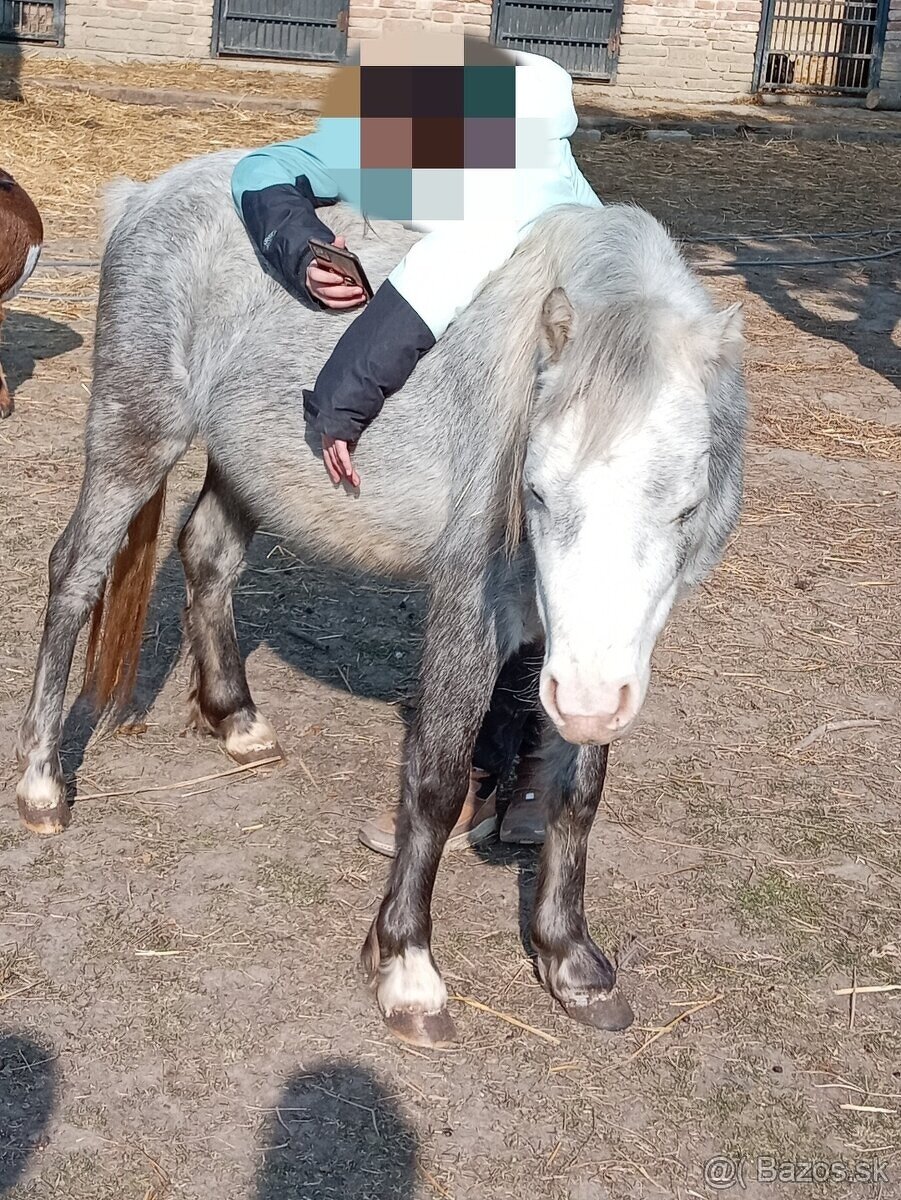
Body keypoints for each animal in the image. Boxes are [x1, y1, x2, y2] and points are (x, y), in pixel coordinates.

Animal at [16, 151, 747, 1045]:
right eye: (535, 493)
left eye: (683, 508)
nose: (581, 698)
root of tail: (147, 195)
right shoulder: (472, 610)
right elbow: (433, 782)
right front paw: (407, 970)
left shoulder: (602, 651)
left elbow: (578, 792)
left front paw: (570, 962)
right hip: (134, 436)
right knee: (75, 573)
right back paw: (42, 786)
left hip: (246, 465)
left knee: (208, 556)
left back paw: (238, 721)